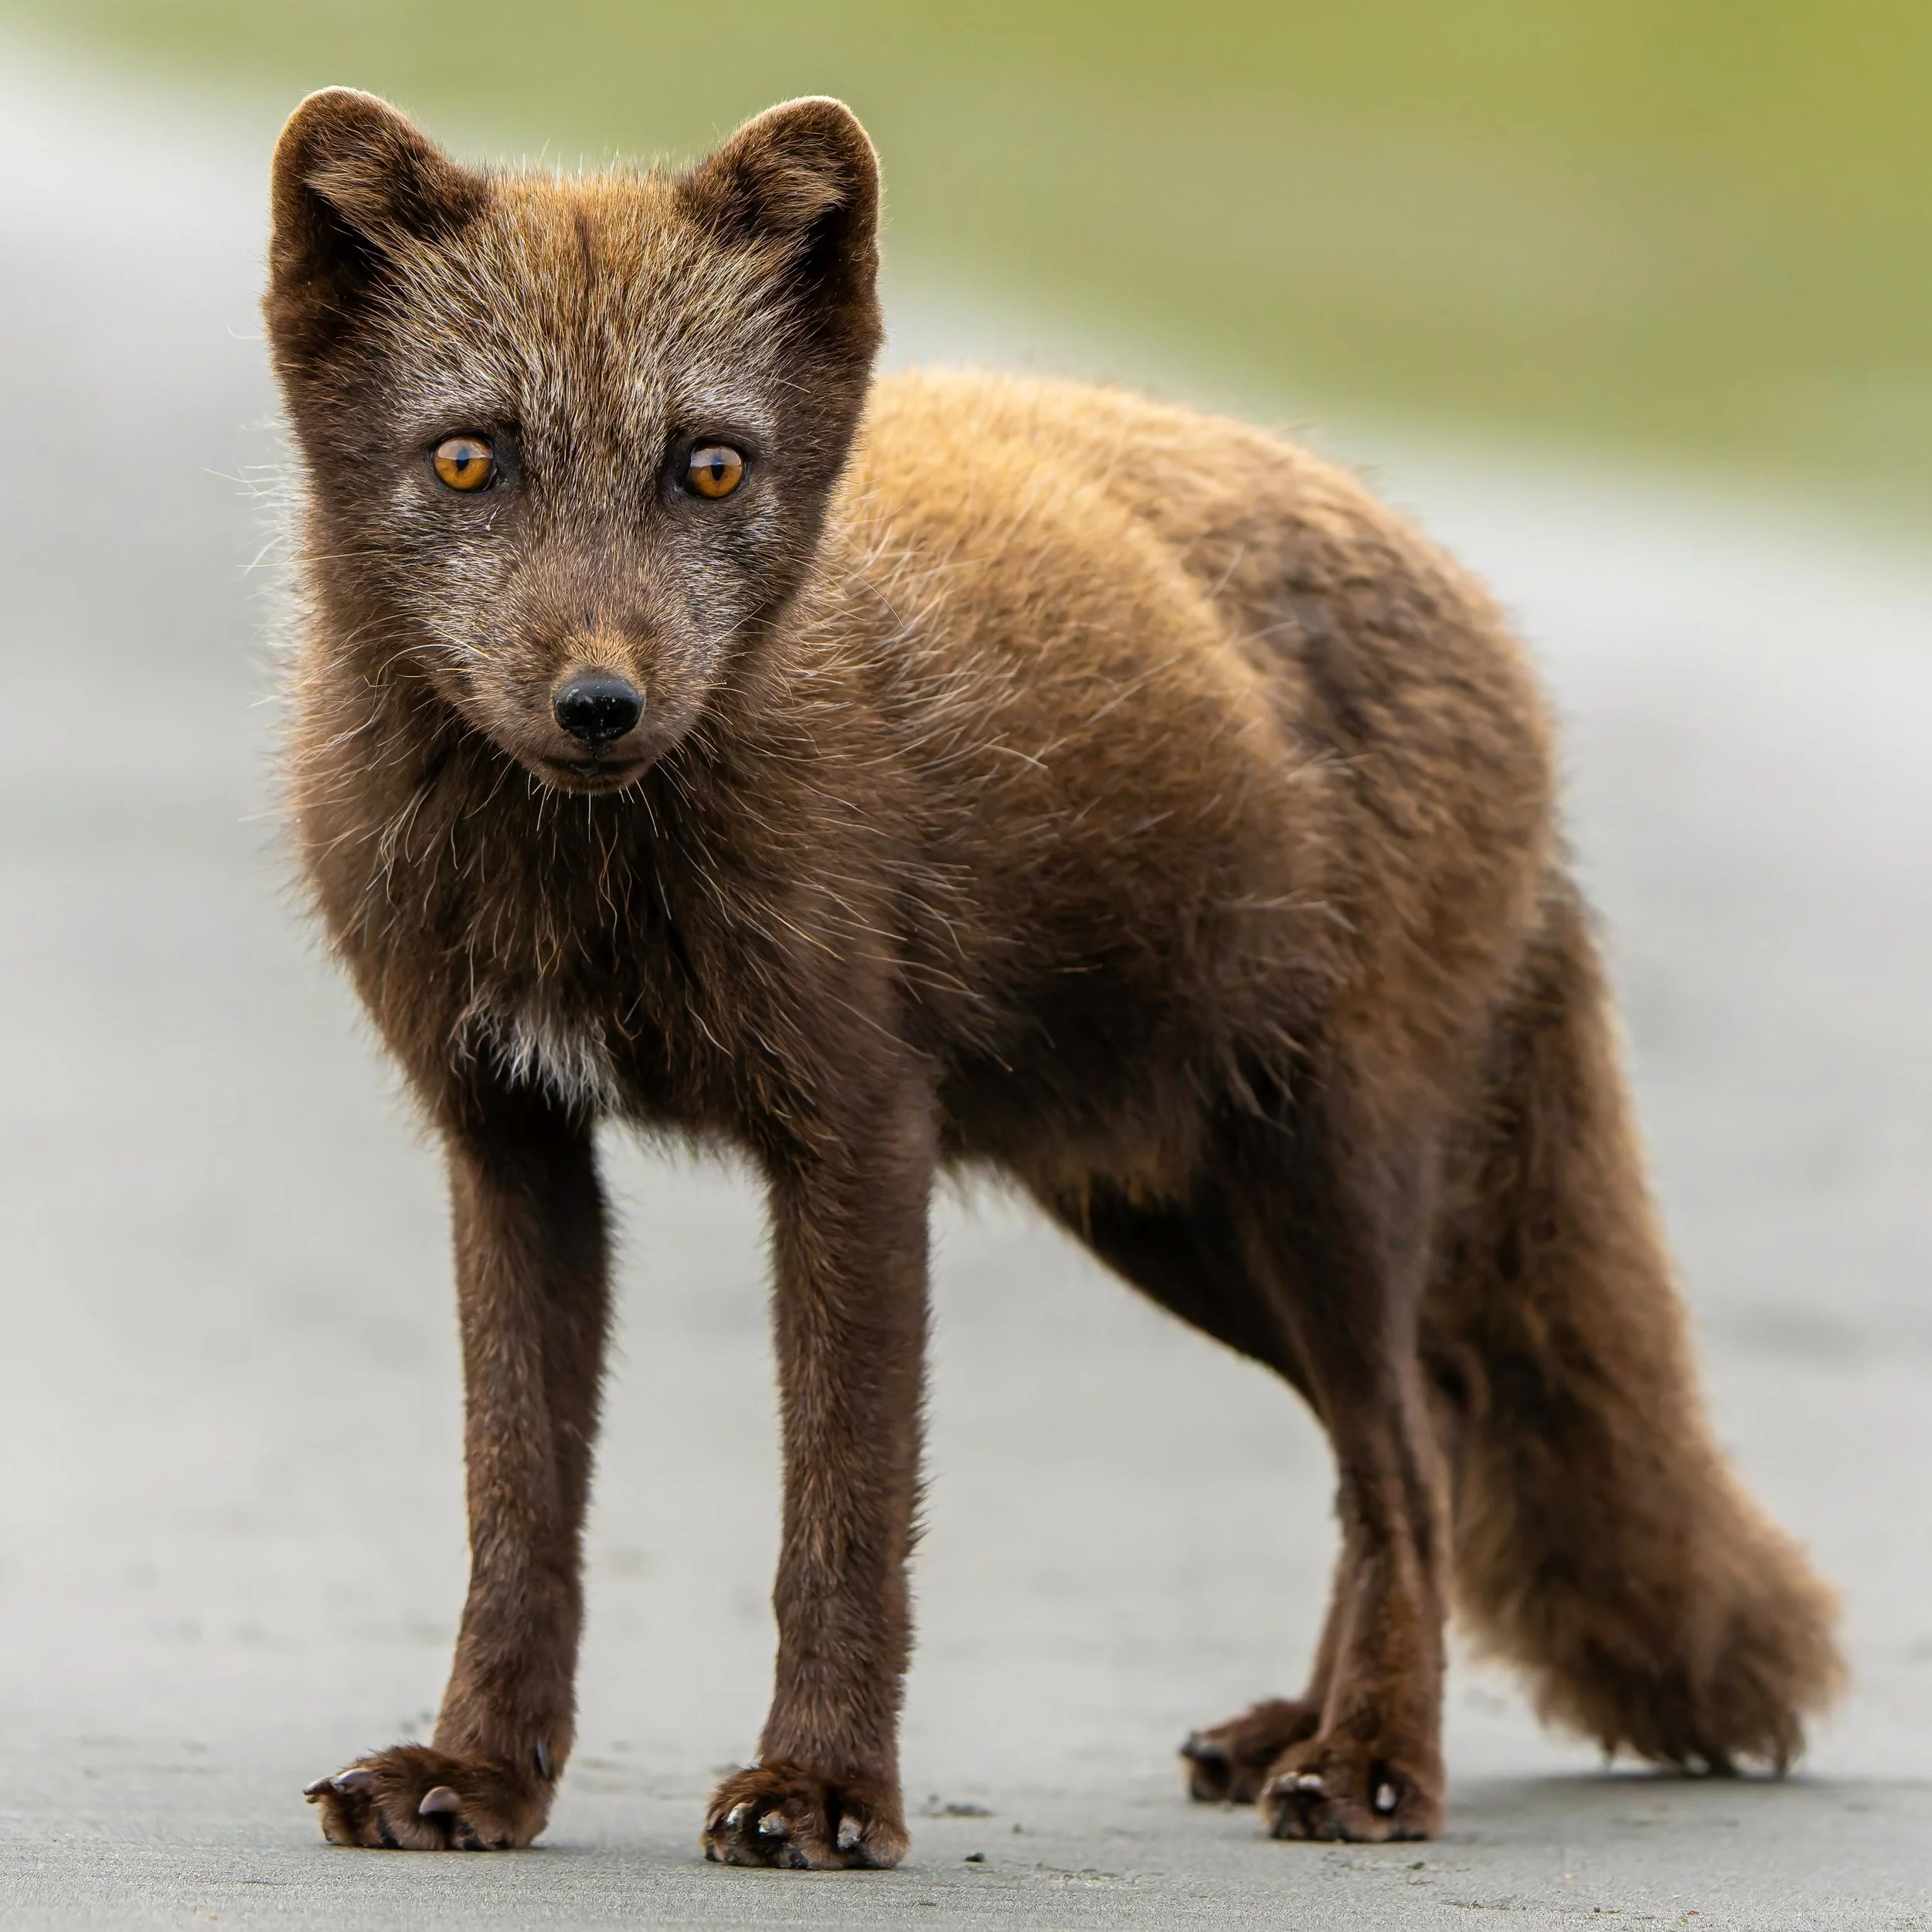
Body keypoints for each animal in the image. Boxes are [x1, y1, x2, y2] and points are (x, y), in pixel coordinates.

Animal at [264, 88, 1841, 1868]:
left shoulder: (856, 1130)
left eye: (708, 466)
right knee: (1421, 1430)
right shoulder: (509, 1134)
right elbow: (515, 1508)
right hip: (1168, 1211)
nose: (601, 704)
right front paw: (479, 1775)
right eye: (468, 458)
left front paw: (823, 1793)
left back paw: (1374, 1764)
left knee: (1414, 1457)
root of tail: (1478, 602)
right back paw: (1296, 1728)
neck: (578, 884)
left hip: (1323, 1176)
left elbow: (842, 1513)